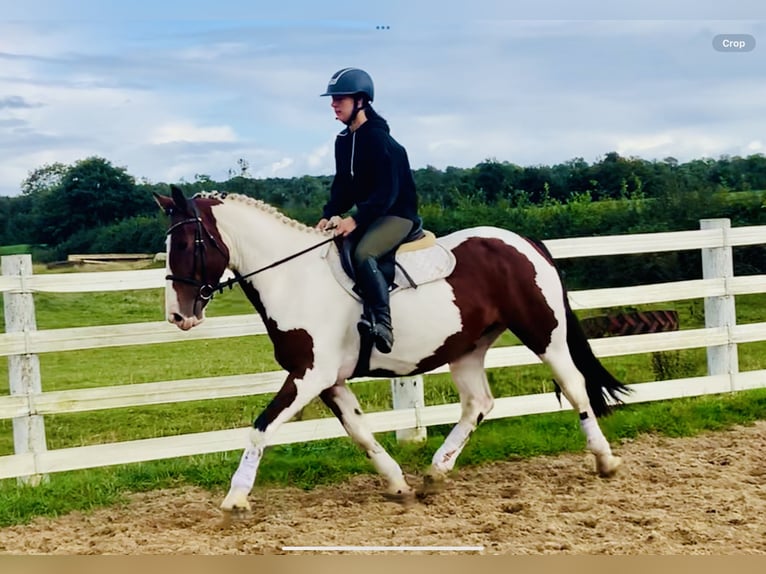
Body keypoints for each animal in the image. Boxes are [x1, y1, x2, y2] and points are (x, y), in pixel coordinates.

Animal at [154, 184, 632, 512]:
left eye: (188, 243)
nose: (178, 316)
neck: (293, 279)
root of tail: (524, 243)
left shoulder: (309, 376)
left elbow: (261, 427)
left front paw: (235, 500)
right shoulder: (330, 381)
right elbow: (361, 433)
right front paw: (397, 484)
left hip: (543, 334)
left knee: (574, 387)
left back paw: (605, 461)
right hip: (467, 348)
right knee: (478, 404)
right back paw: (435, 475)